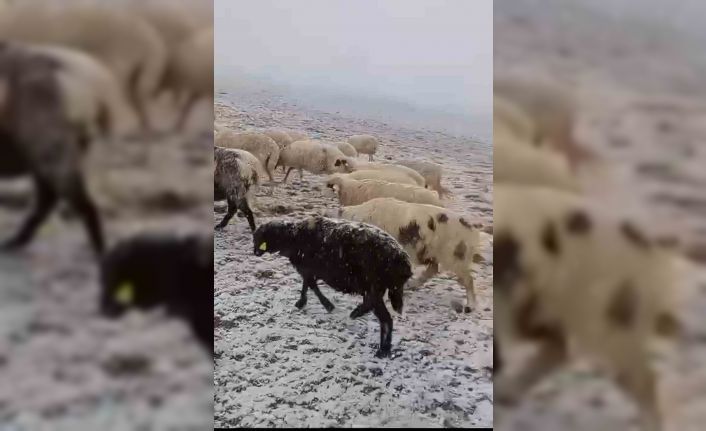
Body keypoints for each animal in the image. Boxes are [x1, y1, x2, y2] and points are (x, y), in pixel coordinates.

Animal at [253, 216, 410, 358]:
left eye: (259, 238)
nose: (255, 252)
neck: (293, 236)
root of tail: (402, 259)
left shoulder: (307, 268)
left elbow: (311, 286)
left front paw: (326, 305)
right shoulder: (308, 270)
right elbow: (307, 284)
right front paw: (302, 303)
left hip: (373, 286)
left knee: (385, 318)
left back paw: (382, 350)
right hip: (377, 288)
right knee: (372, 306)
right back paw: (357, 314)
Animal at [334, 198, 478, 314]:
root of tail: (470, 227)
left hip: (454, 257)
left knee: (468, 279)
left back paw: (469, 308)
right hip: (432, 255)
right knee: (432, 270)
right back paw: (410, 285)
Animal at [492, 184, 680, 430]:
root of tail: (647, 244)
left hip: (608, 324)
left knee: (644, 380)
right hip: (544, 310)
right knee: (558, 349)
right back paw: (508, 392)